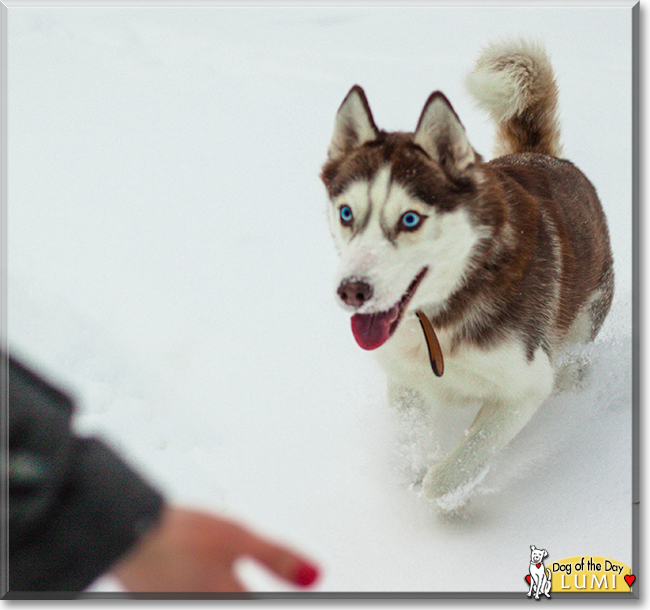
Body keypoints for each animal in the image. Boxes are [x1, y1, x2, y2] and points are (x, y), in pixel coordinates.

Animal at [322, 40, 612, 510]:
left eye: (410, 219)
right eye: (347, 213)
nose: (352, 292)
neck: (436, 318)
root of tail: (543, 156)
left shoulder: (526, 384)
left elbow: (457, 466)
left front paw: (451, 494)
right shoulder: (403, 379)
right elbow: (409, 441)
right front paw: (415, 465)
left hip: (583, 324)